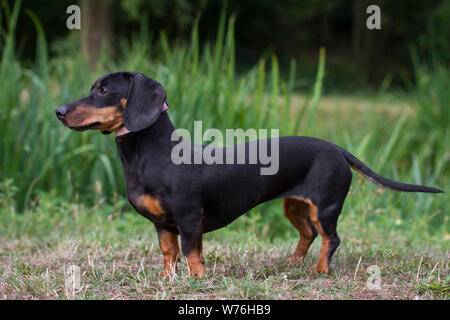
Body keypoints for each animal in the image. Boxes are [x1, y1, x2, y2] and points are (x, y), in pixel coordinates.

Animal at [55, 71, 442, 276]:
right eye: (93, 86)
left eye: (104, 90)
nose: (58, 111)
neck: (154, 154)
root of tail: (337, 149)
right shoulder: (162, 224)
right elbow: (169, 252)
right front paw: (168, 278)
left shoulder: (188, 218)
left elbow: (191, 251)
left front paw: (196, 280)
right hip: (294, 206)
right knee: (308, 234)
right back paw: (292, 262)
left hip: (326, 207)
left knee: (331, 239)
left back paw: (320, 270)